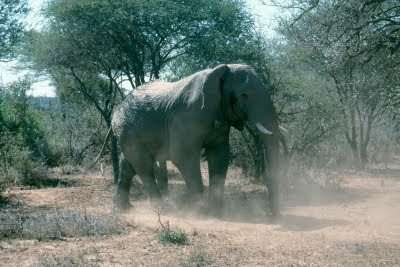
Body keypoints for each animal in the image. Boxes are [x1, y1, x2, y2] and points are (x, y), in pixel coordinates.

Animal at [111, 63, 282, 217]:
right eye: (244, 95)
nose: (272, 214)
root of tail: (119, 106)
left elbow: (220, 155)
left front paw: (216, 212)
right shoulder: (187, 115)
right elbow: (182, 156)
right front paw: (198, 211)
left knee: (129, 165)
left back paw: (124, 209)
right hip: (127, 129)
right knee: (143, 165)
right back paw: (161, 209)